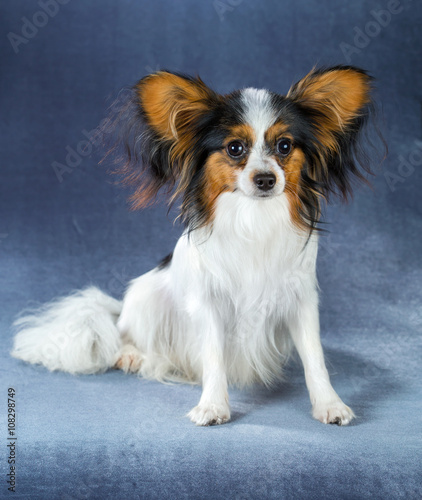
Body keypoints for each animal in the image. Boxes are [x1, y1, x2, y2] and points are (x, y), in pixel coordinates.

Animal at [12, 65, 372, 426]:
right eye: (235, 149)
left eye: (284, 146)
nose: (266, 180)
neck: (253, 217)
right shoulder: (208, 304)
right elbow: (213, 357)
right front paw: (213, 406)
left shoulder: (301, 301)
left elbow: (315, 357)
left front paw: (329, 404)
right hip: (145, 300)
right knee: (123, 334)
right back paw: (130, 355)